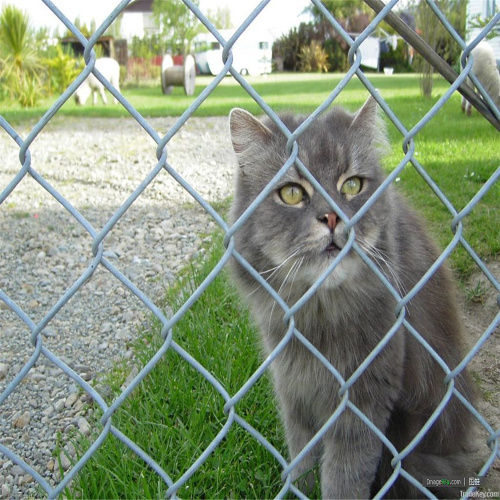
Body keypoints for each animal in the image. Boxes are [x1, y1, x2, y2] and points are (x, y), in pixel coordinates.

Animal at [229, 96, 478, 496]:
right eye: (292, 193)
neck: (317, 317)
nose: (332, 218)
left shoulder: (364, 398)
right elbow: (302, 461)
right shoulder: (294, 392)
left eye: (352, 186)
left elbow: (343, 479)